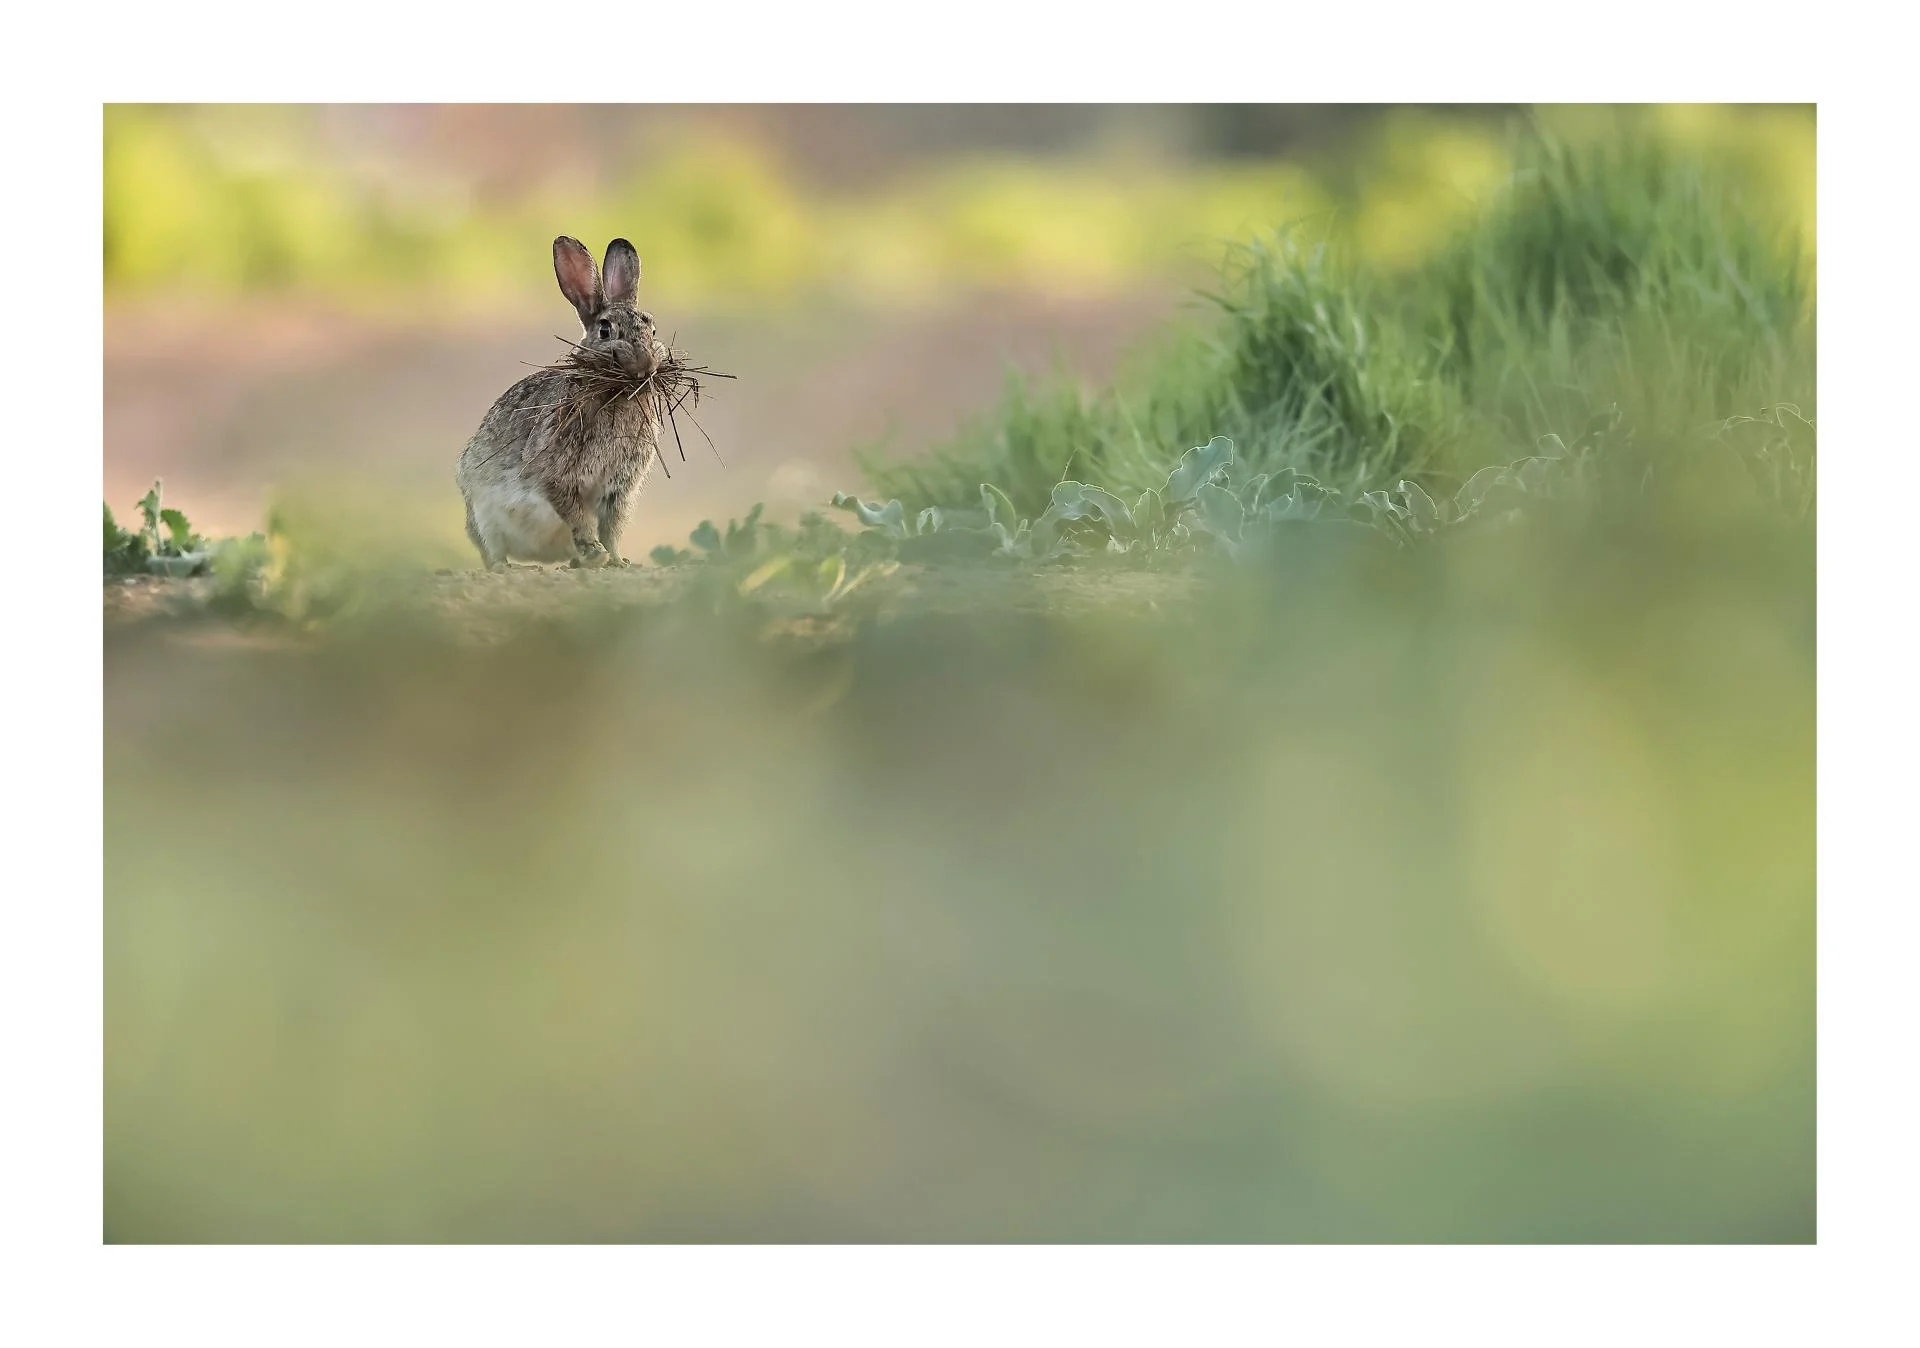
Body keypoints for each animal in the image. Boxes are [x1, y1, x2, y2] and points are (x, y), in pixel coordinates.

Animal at [457, 236, 666, 569]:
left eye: (653, 329)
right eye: (605, 330)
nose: (646, 365)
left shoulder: (619, 489)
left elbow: (611, 527)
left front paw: (616, 561)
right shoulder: (557, 475)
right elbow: (578, 516)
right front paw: (596, 553)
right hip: (481, 512)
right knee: (492, 550)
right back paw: (508, 566)